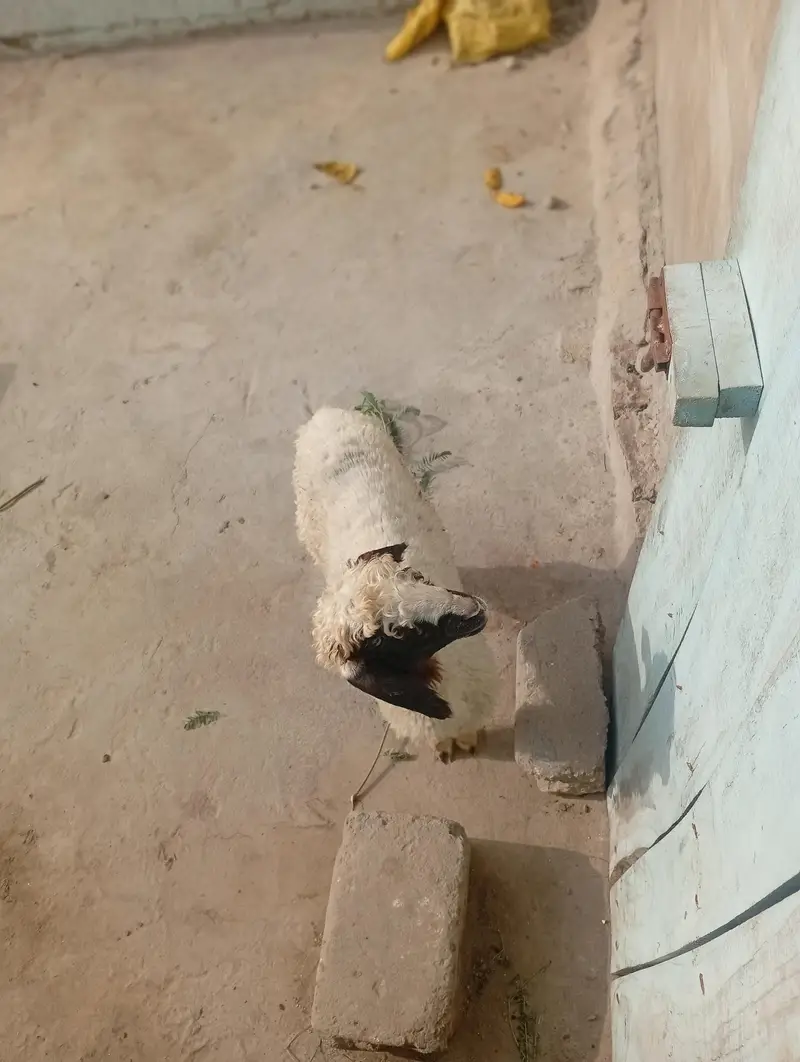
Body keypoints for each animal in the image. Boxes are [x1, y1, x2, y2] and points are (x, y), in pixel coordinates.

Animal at [293, 406, 497, 762]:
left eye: (415, 575)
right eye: (390, 637)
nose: (472, 609)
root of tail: (323, 415)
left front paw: (469, 741)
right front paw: (446, 749)